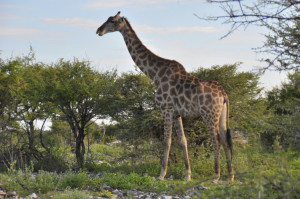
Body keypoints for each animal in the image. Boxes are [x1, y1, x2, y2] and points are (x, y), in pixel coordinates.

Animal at [97, 11, 233, 183]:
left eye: (113, 21)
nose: (99, 30)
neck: (155, 75)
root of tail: (223, 93)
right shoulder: (177, 113)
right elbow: (183, 141)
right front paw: (187, 175)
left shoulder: (166, 109)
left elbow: (166, 141)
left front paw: (161, 174)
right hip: (221, 114)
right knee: (225, 139)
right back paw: (230, 177)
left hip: (208, 113)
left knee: (216, 139)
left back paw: (216, 176)